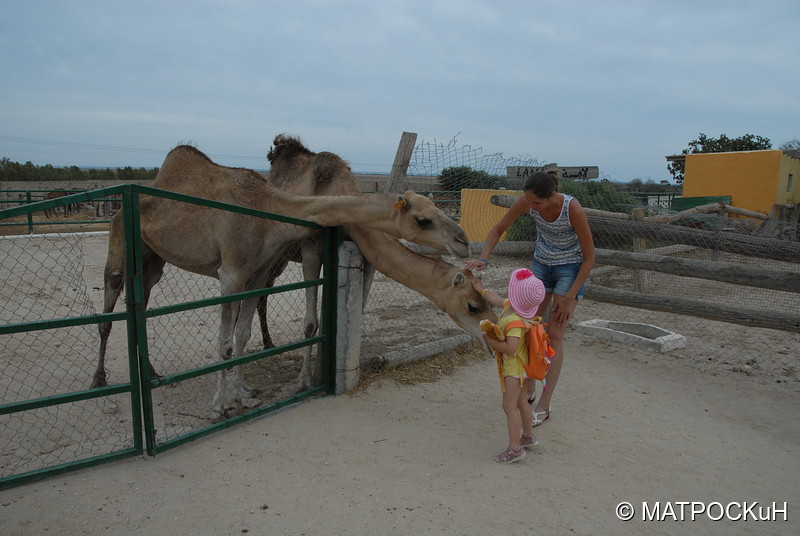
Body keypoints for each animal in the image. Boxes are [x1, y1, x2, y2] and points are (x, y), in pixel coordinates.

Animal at [94, 143, 468, 414]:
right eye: (423, 219)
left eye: (437, 210)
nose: (462, 239)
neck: (268, 209)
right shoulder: (232, 273)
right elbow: (227, 341)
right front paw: (220, 404)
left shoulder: (256, 272)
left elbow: (242, 334)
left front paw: (244, 393)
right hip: (119, 245)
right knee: (109, 305)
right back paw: (101, 383)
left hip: (152, 261)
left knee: (140, 306)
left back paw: (153, 374)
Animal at [258, 135, 494, 390]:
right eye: (473, 306)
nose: (463, 241)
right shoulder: (311, 250)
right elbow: (311, 322)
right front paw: (304, 380)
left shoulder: (364, 253)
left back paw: (268, 344)